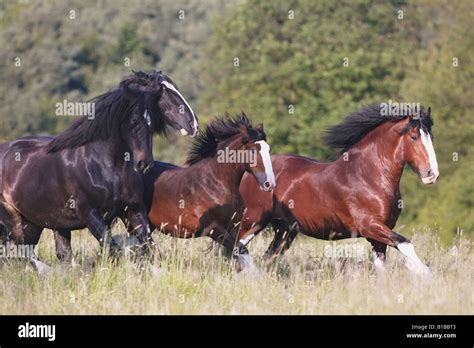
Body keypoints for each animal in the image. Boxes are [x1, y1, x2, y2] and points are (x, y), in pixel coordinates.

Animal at [0, 69, 198, 268]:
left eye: (150, 121)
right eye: (167, 92)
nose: (193, 124)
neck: (106, 166)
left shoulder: (133, 210)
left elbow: (150, 248)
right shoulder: (91, 216)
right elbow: (112, 249)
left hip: (39, 223)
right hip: (15, 220)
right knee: (21, 254)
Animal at [239, 104, 438, 276]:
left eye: (431, 137)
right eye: (414, 137)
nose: (432, 174)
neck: (368, 175)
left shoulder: (379, 235)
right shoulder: (370, 226)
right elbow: (406, 244)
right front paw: (425, 274)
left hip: (285, 230)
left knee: (268, 257)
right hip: (253, 221)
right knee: (238, 247)